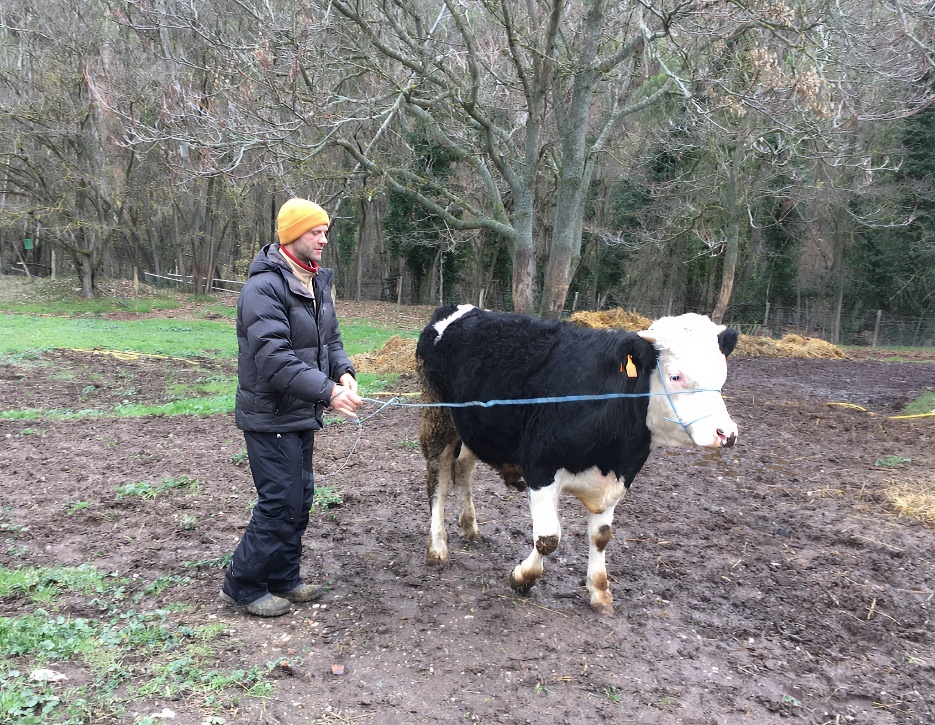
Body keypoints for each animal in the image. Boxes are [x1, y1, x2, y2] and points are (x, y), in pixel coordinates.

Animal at [416, 305, 739, 614]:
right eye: (675, 376)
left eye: (721, 378)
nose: (726, 433)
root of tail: (458, 310)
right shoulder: (540, 467)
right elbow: (548, 538)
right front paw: (522, 578)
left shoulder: (617, 480)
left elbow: (601, 536)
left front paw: (600, 591)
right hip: (438, 415)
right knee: (437, 480)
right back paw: (437, 548)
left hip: (473, 427)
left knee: (463, 466)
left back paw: (470, 527)